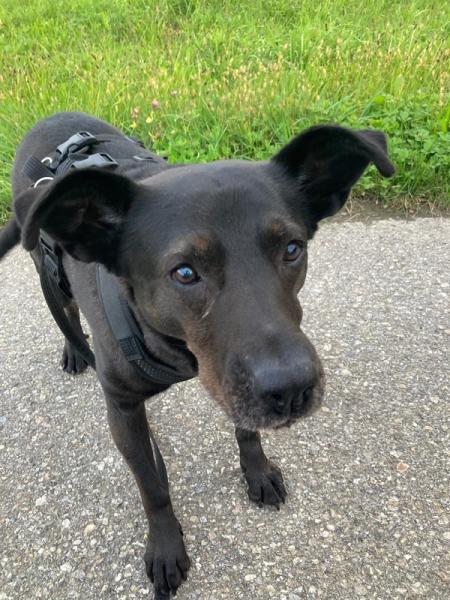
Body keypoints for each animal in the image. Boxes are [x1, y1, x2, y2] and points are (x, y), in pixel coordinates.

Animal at [0, 112, 394, 599]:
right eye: (185, 272)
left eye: (292, 249)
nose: (292, 390)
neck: (175, 346)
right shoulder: (123, 409)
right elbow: (153, 487)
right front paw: (166, 545)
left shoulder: (235, 377)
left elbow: (246, 429)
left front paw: (256, 470)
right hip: (47, 272)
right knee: (66, 312)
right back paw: (75, 349)